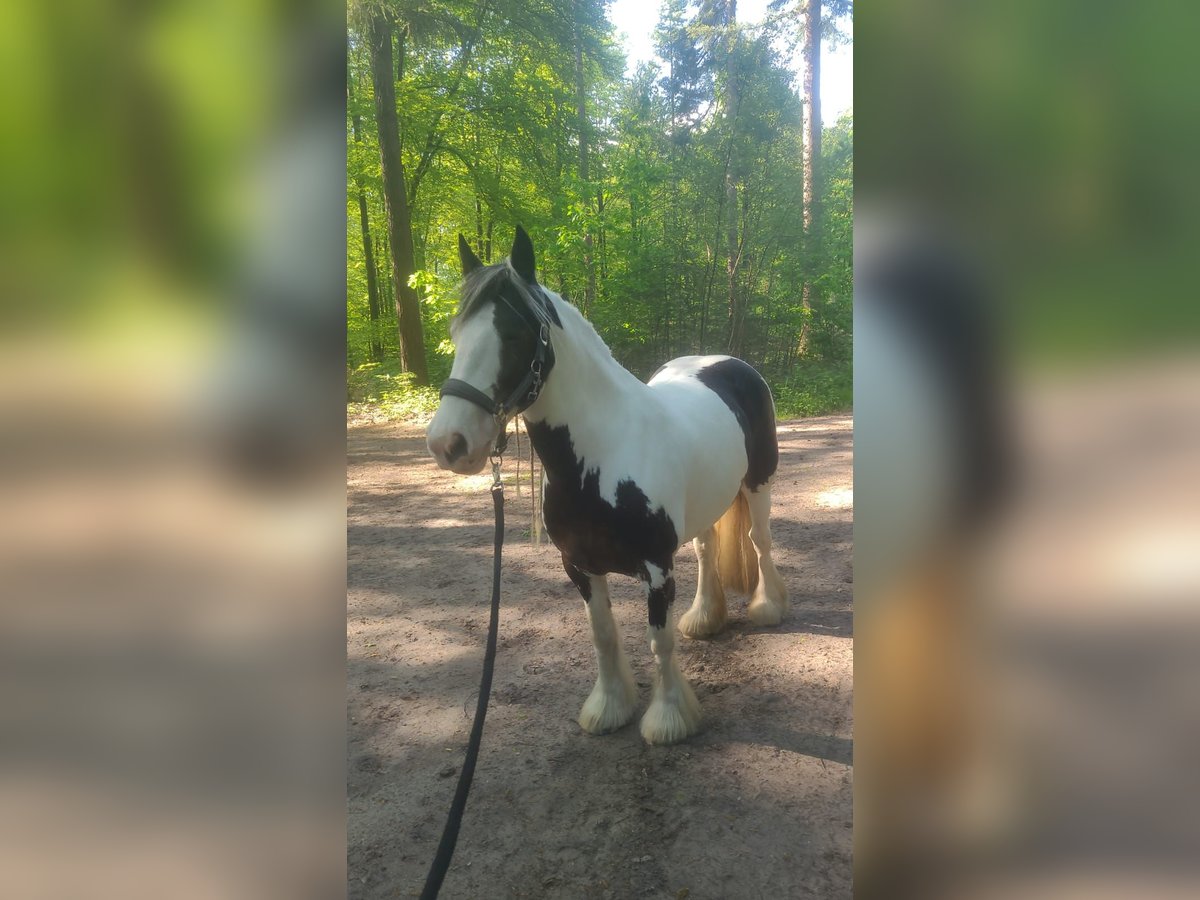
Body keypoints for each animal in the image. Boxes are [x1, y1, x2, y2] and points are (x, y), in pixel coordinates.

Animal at [429, 226, 787, 748]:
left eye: (513, 334)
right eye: (456, 334)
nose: (447, 443)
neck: (602, 456)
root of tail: (728, 363)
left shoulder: (656, 568)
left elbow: (659, 642)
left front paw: (669, 717)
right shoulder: (578, 565)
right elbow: (603, 636)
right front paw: (609, 707)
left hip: (759, 483)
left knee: (760, 542)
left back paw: (768, 607)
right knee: (706, 551)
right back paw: (705, 617)